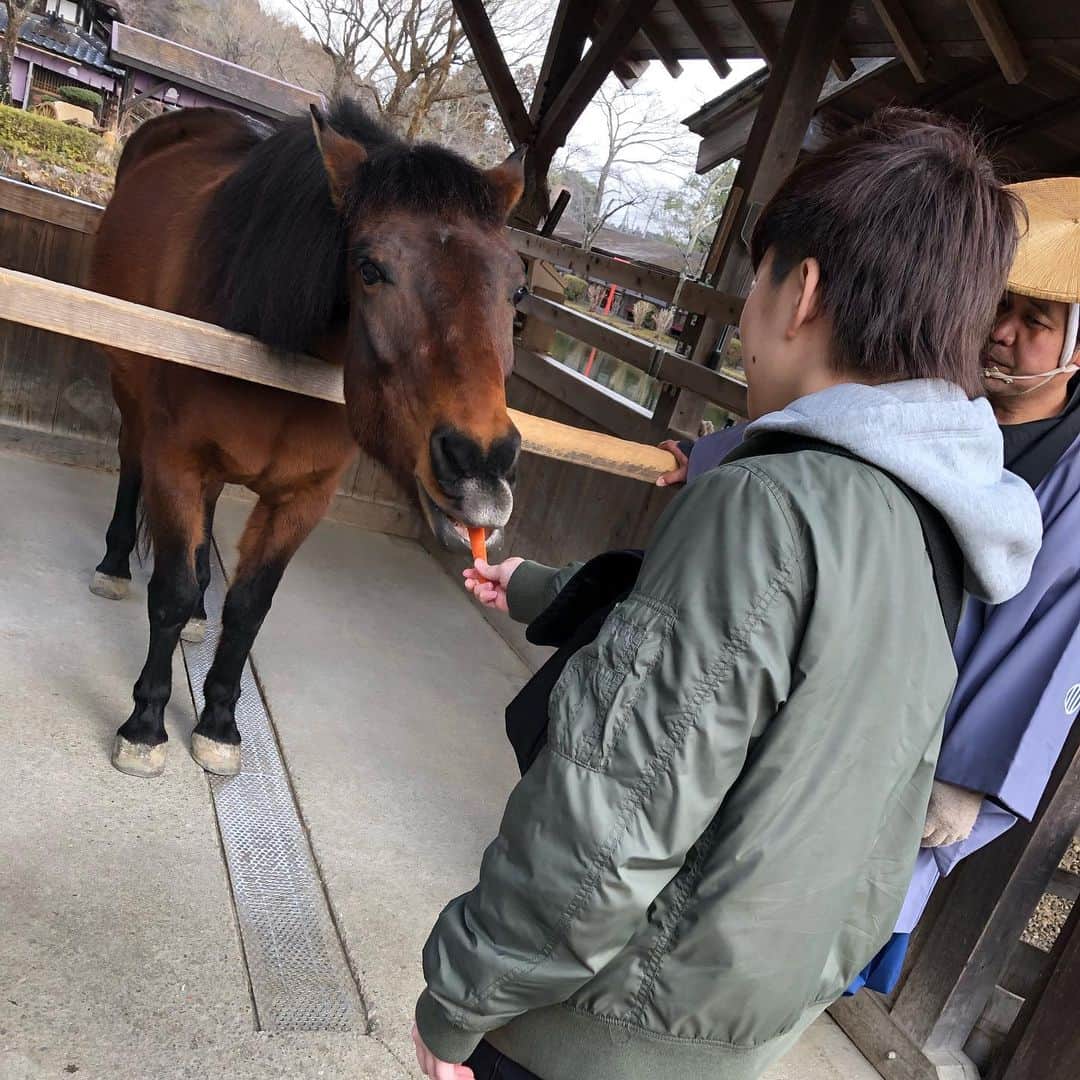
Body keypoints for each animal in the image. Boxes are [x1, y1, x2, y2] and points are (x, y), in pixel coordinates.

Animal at [88, 100, 526, 778]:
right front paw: (145, 724)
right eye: (369, 269)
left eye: (517, 291)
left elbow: (248, 607)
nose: (479, 465)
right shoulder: (176, 462)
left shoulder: (302, 499)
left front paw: (218, 724)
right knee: (130, 459)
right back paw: (113, 564)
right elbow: (170, 589)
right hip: (128, 386)